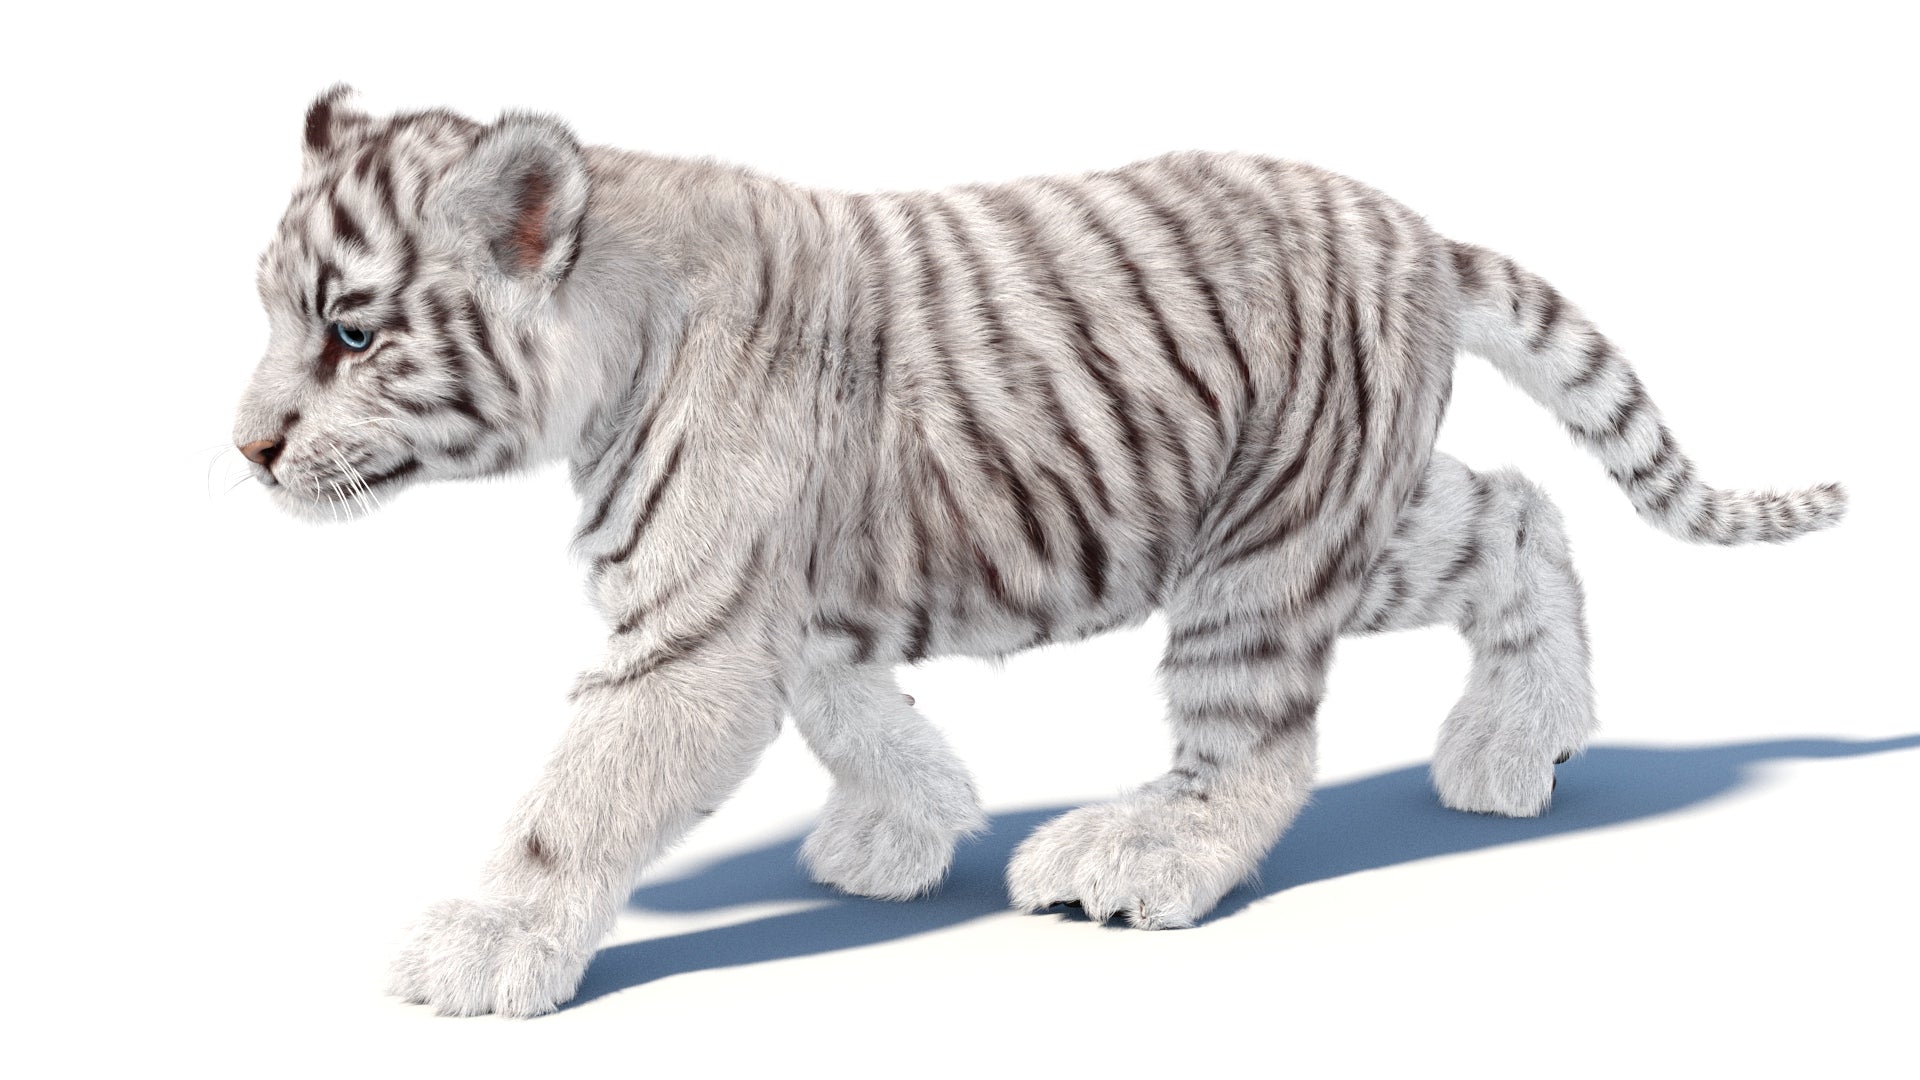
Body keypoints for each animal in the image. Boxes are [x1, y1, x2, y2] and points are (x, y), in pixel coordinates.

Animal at [232, 87, 1846, 1017]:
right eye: (269, 309)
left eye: (353, 333)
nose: (244, 449)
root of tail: (1417, 231)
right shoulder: (790, 599)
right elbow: (852, 709)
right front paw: (909, 825)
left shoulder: (696, 628)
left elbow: (576, 798)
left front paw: (481, 945)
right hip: (1351, 517)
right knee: (1517, 511)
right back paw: (1522, 747)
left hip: (1260, 551)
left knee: (1257, 746)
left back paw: (1140, 855)